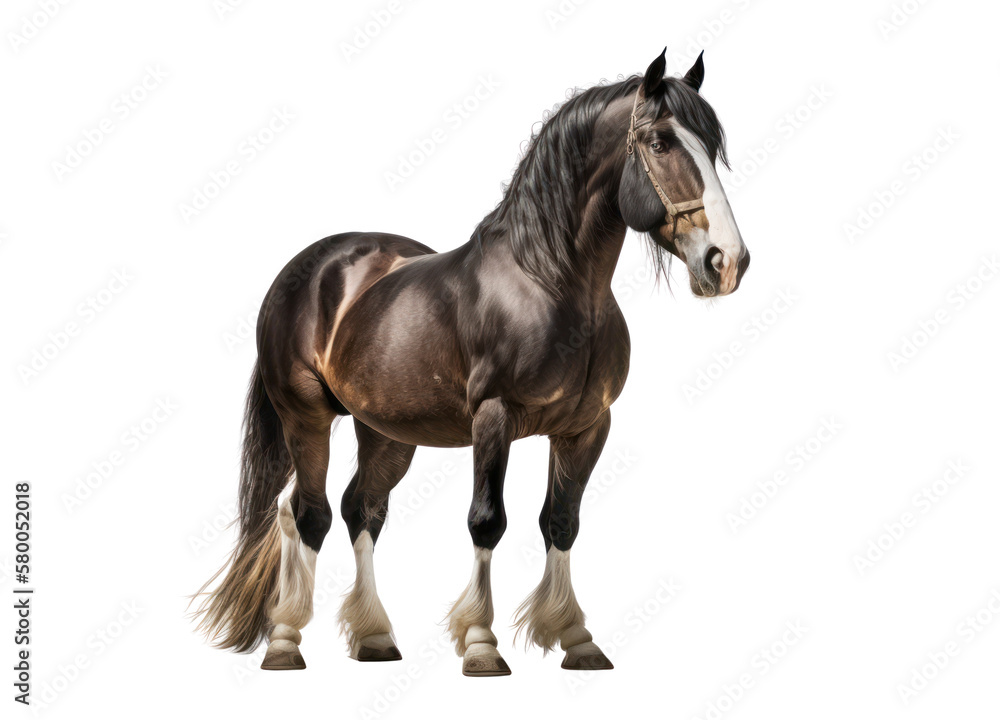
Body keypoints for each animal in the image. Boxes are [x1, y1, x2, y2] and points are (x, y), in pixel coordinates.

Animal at [192, 48, 750, 676]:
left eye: (712, 145)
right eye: (659, 142)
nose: (727, 261)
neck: (549, 282)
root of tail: (305, 268)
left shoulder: (586, 427)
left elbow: (562, 520)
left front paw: (577, 638)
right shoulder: (494, 417)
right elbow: (488, 520)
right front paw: (482, 643)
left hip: (386, 433)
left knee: (362, 510)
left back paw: (374, 636)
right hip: (305, 416)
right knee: (306, 514)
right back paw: (286, 640)